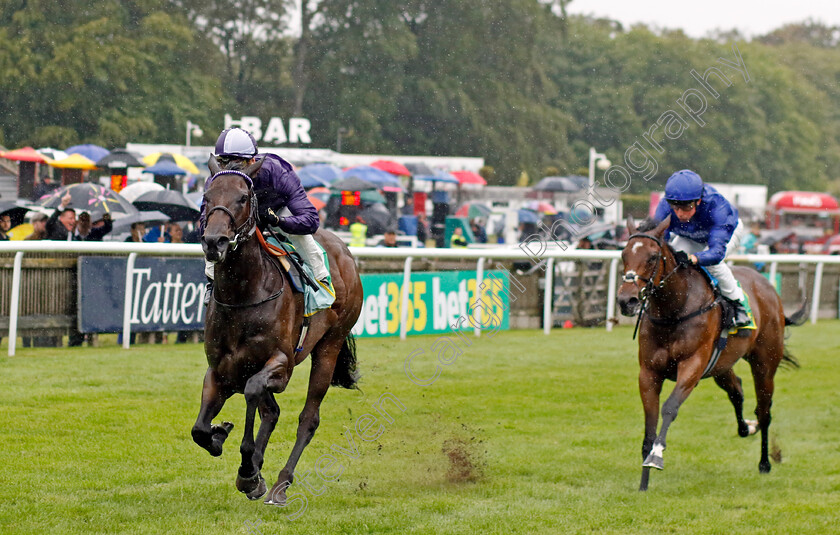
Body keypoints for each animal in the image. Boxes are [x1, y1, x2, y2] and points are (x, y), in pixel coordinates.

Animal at [192, 156, 362, 506]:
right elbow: (199, 429)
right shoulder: (221, 370)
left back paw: (280, 483)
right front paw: (221, 436)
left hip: (330, 344)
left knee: (308, 418)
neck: (243, 294)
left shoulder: (280, 364)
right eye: (206, 197)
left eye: (243, 197)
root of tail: (347, 253)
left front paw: (247, 470)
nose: (214, 242)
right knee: (272, 411)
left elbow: (254, 391)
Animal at [616, 216, 808, 492]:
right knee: (737, 391)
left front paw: (656, 456)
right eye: (623, 254)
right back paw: (747, 428)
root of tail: (768, 287)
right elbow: (649, 423)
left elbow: (670, 408)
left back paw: (765, 463)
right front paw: (643, 483)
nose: (626, 300)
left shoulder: (692, 366)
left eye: (652, 257)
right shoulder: (649, 372)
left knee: (764, 410)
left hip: (764, 364)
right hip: (721, 366)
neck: (674, 309)